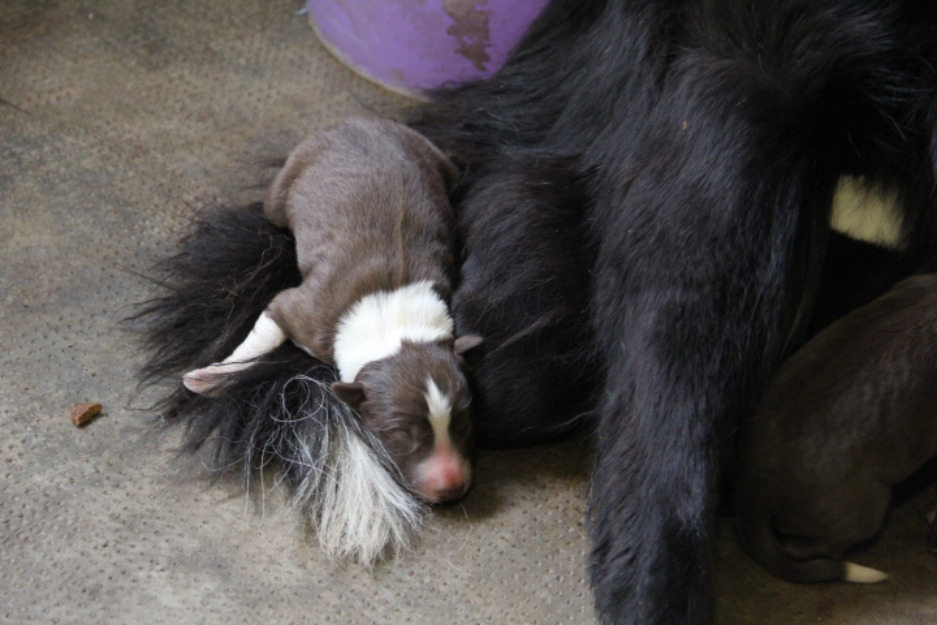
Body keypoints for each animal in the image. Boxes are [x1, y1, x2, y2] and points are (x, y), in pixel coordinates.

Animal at [181, 117, 482, 502]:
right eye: (399, 434)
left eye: (466, 420)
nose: (452, 488)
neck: (396, 324)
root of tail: (359, 121)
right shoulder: (301, 309)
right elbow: (262, 337)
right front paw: (210, 377)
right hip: (286, 185)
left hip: (435, 159)